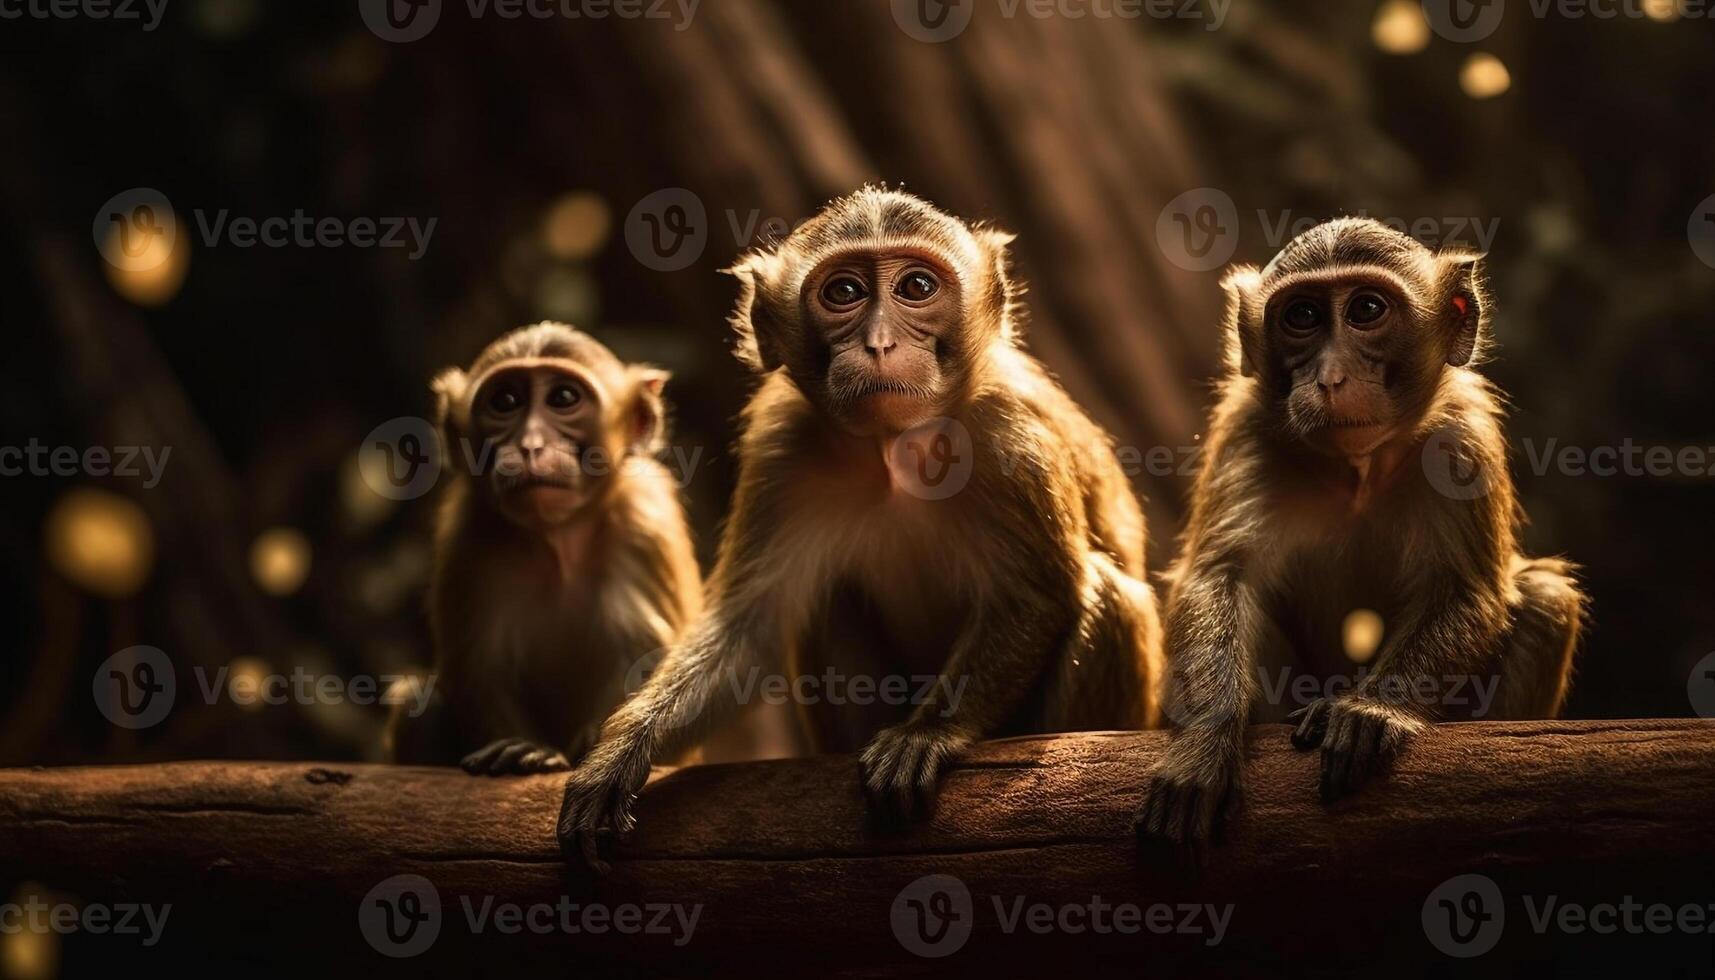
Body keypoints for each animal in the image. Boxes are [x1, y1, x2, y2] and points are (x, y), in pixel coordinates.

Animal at [387, 326, 703, 779]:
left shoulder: (645, 521)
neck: (557, 537)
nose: (530, 445)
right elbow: (476, 667)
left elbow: (645, 656)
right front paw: (525, 749)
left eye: (564, 398)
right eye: (505, 401)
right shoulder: (467, 532)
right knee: (420, 705)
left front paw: (600, 749)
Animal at [562, 186, 1166, 865]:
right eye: (844, 293)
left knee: (1111, 596)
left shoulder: (1010, 434)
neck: (894, 447)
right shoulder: (782, 447)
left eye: (918, 286)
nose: (879, 343)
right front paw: (621, 751)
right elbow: (747, 628)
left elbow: (1041, 593)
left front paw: (928, 731)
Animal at [1131, 218, 1584, 847]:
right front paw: (1203, 741)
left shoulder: (1462, 439)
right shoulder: (1247, 432)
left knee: (1545, 596)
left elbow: (1465, 590)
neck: (1357, 469)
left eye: (1367, 309)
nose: (1330, 376)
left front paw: (1374, 710)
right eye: (1301, 316)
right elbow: (1220, 577)